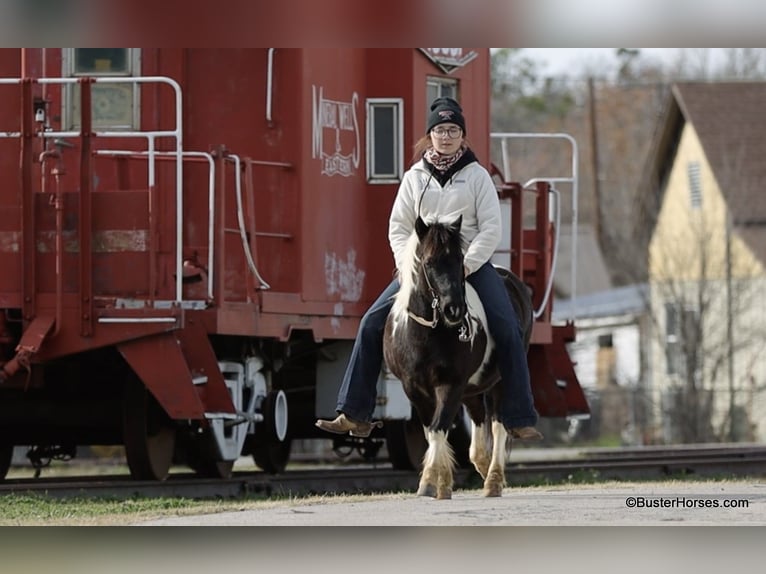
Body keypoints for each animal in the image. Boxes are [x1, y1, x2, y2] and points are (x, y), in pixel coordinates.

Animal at [384, 216, 536, 500]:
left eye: (460, 260)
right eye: (428, 262)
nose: (454, 309)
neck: (427, 334)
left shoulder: (451, 384)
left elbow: (439, 427)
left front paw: (430, 481)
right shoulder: (414, 389)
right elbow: (432, 431)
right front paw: (441, 482)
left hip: (500, 380)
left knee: (498, 425)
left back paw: (494, 479)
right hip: (472, 388)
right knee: (478, 420)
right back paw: (483, 466)